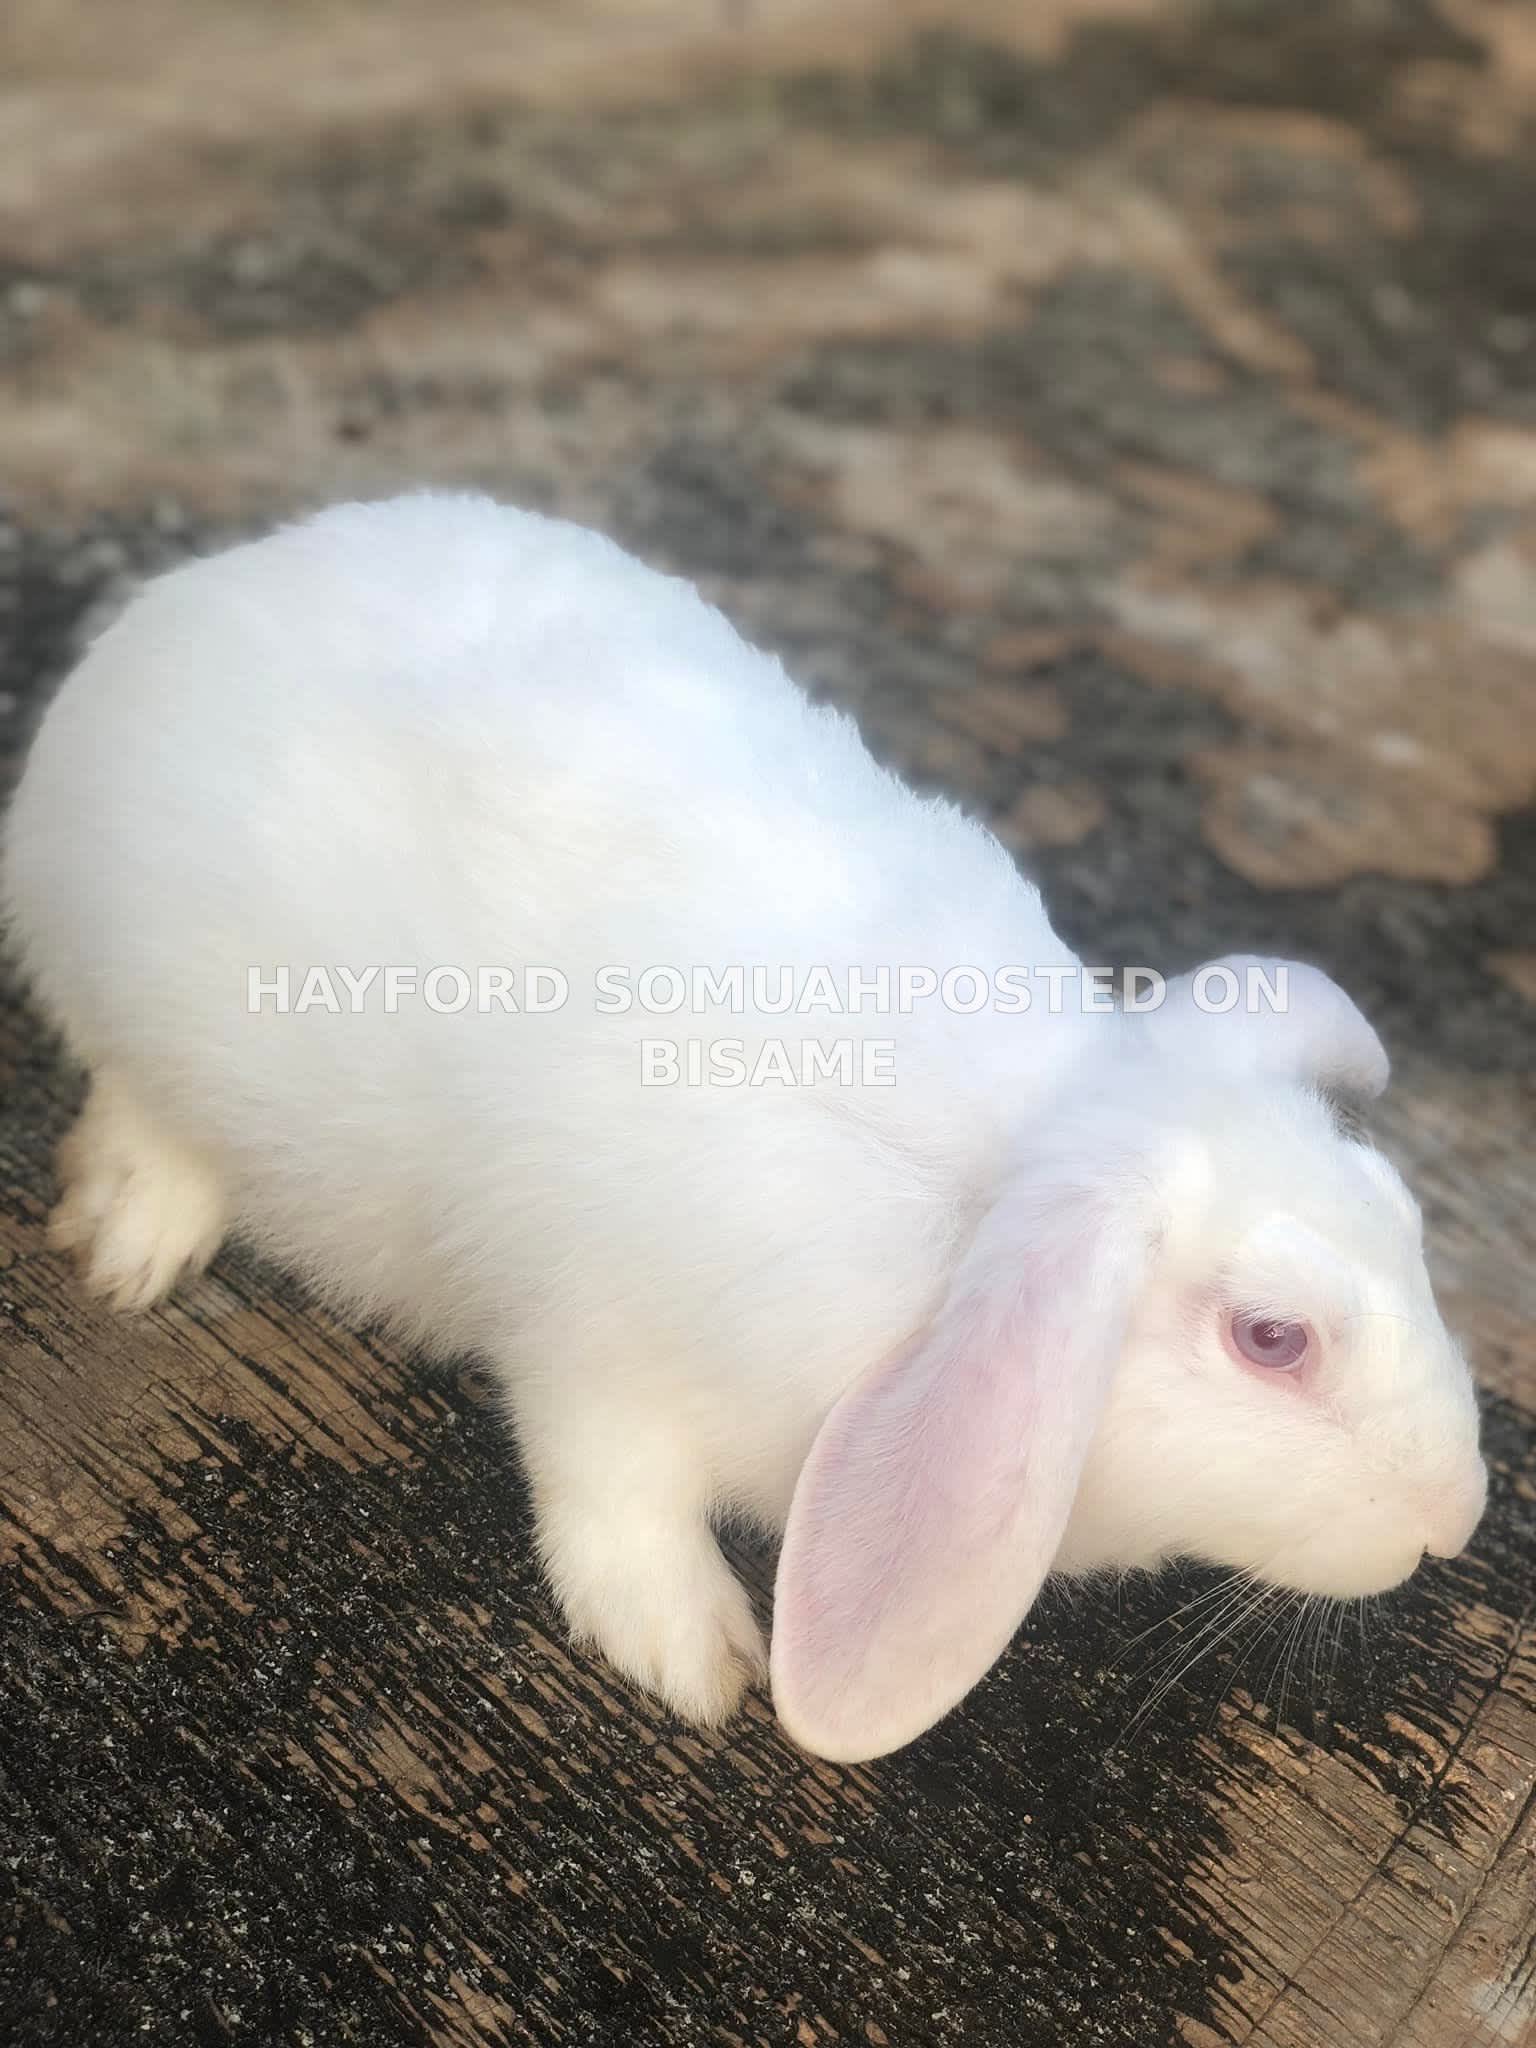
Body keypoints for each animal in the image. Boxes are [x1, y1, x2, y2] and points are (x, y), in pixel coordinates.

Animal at [2, 492, 1488, 1763]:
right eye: (1273, 1340)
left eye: (1405, 1217)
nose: (1457, 1520)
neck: (967, 1194)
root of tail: (195, 595)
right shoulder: (592, 1351)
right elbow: (609, 1503)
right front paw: (697, 1657)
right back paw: (135, 1234)